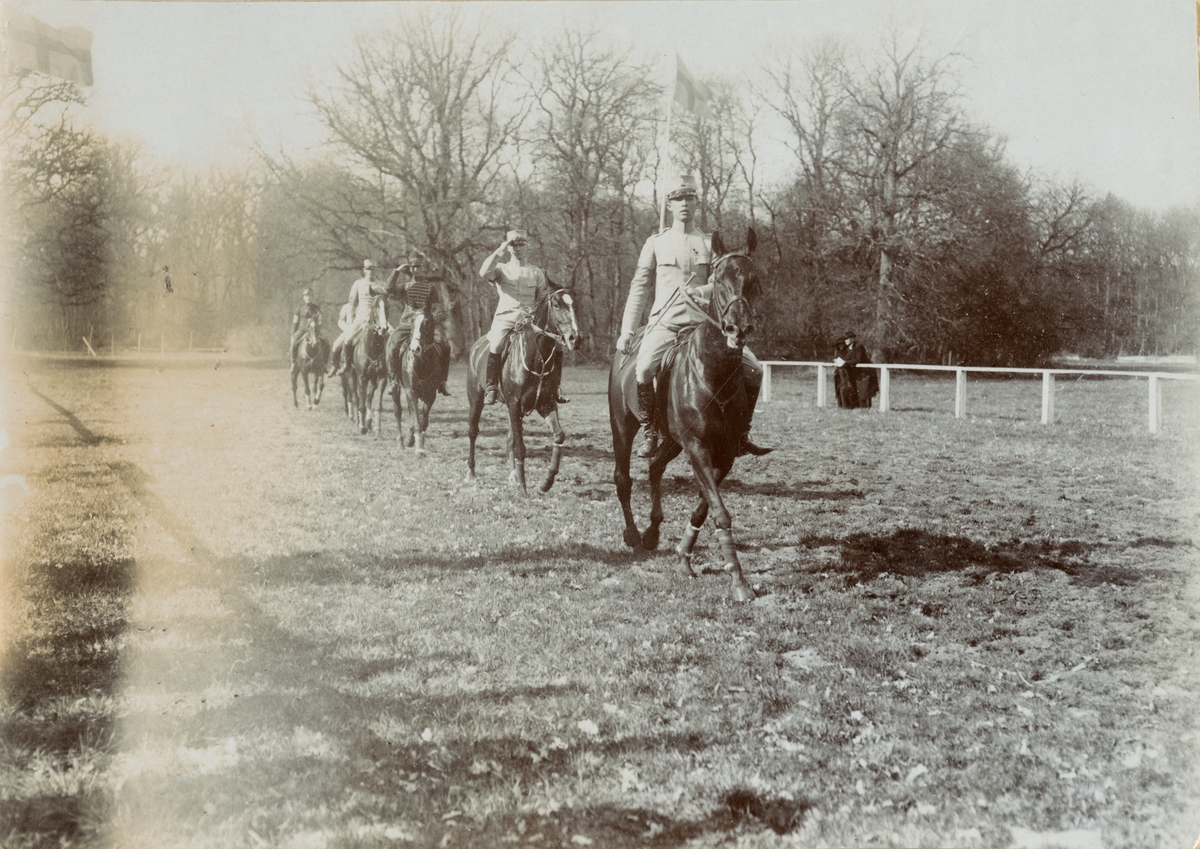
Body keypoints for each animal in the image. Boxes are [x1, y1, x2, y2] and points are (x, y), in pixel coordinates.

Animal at [387, 312, 451, 453]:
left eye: (427, 325)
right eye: (412, 324)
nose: (415, 349)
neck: (422, 362)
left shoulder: (430, 394)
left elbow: (423, 420)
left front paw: (413, 440)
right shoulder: (411, 392)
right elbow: (416, 419)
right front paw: (418, 448)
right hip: (396, 389)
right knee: (398, 411)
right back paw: (401, 442)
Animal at [466, 287, 578, 495]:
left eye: (575, 303)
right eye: (556, 305)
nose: (575, 338)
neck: (538, 357)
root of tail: (477, 346)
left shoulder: (545, 404)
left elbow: (558, 436)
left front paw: (546, 481)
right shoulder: (514, 405)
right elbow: (520, 448)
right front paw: (523, 487)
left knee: (509, 439)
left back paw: (513, 475)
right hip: (476, 401)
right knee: (472, 432)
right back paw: (471, 473)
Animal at [609, 229, 762, 601]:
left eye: (754, 281)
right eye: (719, 280)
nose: (738, 329)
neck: (714, 373)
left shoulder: (723, 453)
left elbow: (705, 507)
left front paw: (683, 557)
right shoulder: (697, 448)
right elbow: (720, 512)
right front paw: (738, 581)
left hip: (673, 440)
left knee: (655, 468)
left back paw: (652, 532)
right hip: (622, 427)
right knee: (624, 479)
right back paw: (634, 535)